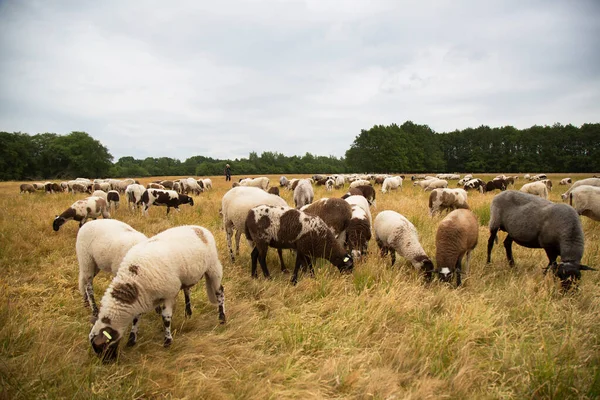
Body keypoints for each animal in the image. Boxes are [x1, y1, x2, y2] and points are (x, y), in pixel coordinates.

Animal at [89, 225, 227, 362]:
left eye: (102, 346)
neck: (134, 279)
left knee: (220, 292)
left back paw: (222, 318)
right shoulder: (142, 298)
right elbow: (136, 318)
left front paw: (167, 341)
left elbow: (166, 318)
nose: (107, 363)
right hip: (188, 277)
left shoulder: (168, 294)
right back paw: (188, 313)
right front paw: (132, 339)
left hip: (213, 267)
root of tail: (199, 228)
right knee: (187, 291)